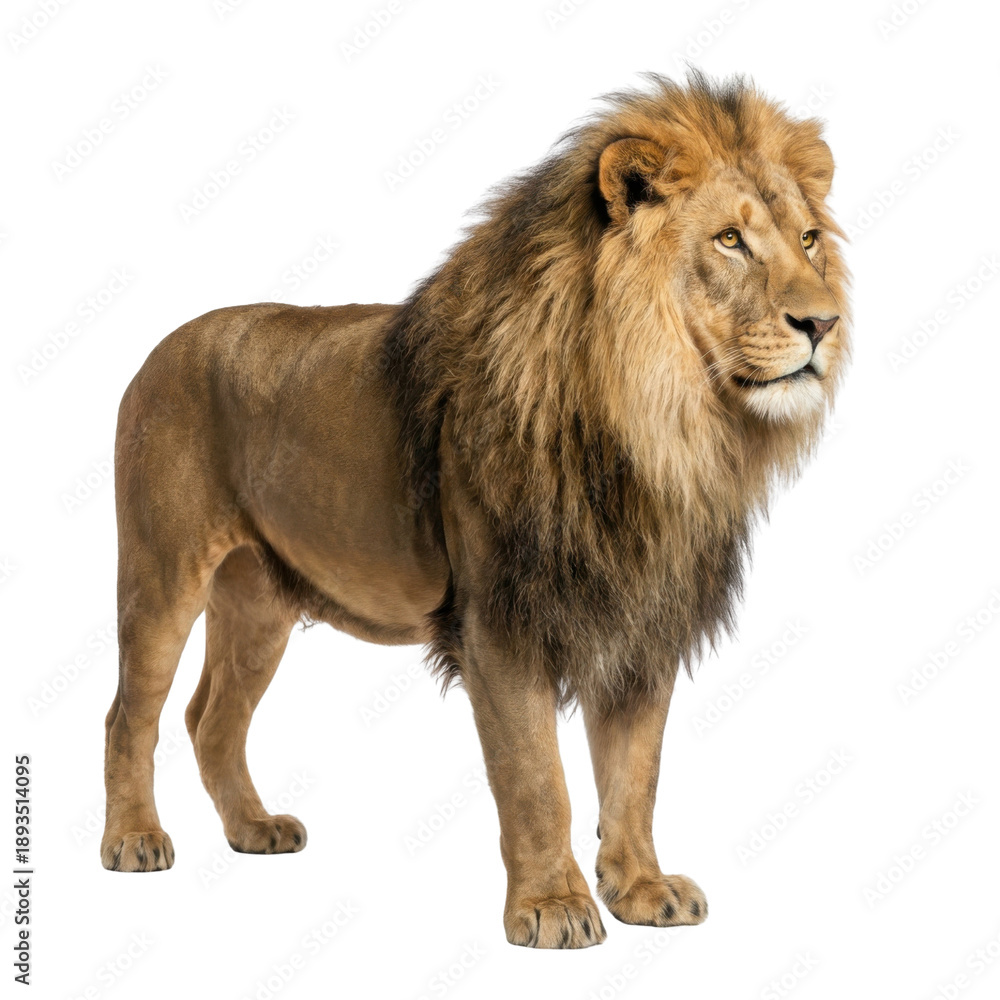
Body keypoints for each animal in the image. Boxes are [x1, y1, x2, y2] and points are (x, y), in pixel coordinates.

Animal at [102, 71, 849, 949]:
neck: (655, 427)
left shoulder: (640, 624)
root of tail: (158, 349)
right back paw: (133, 841)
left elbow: (635, 775)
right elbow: (538, 779)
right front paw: (553, 907)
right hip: (161, 577)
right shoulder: (500, 624)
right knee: (130, 714)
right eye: (730, 240)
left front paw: (640, 889)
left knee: (210, 719)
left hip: (259, 603)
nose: (823, 323)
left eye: (808, 240)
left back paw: (255, 830)